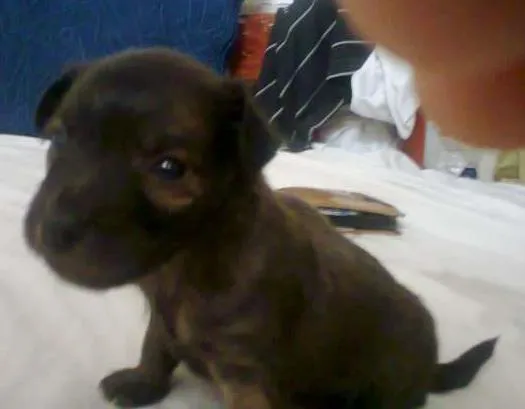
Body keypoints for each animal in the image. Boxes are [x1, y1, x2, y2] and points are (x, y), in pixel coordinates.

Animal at [25, 48, 497, 409]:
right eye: (59, 139)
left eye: (169, 169)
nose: (52, 230)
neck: (187, 259)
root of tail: (431, 367)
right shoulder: (162, 317)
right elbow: (155, 346)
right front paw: (144, 383)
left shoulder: (247, 377)